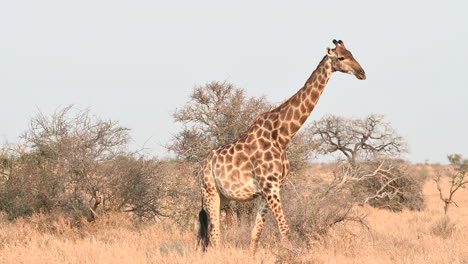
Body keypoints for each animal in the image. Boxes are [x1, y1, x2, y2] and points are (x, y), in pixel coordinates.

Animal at [197, 39, 366, 254]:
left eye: (352, 54)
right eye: (341, 57)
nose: (362, 73)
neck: (282, 136)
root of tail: (202, 164)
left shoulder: (269, 190)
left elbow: (256, 233)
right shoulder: (270, 187)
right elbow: (285, 230)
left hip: (223, 196)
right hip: (209, 191)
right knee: (214, 232)